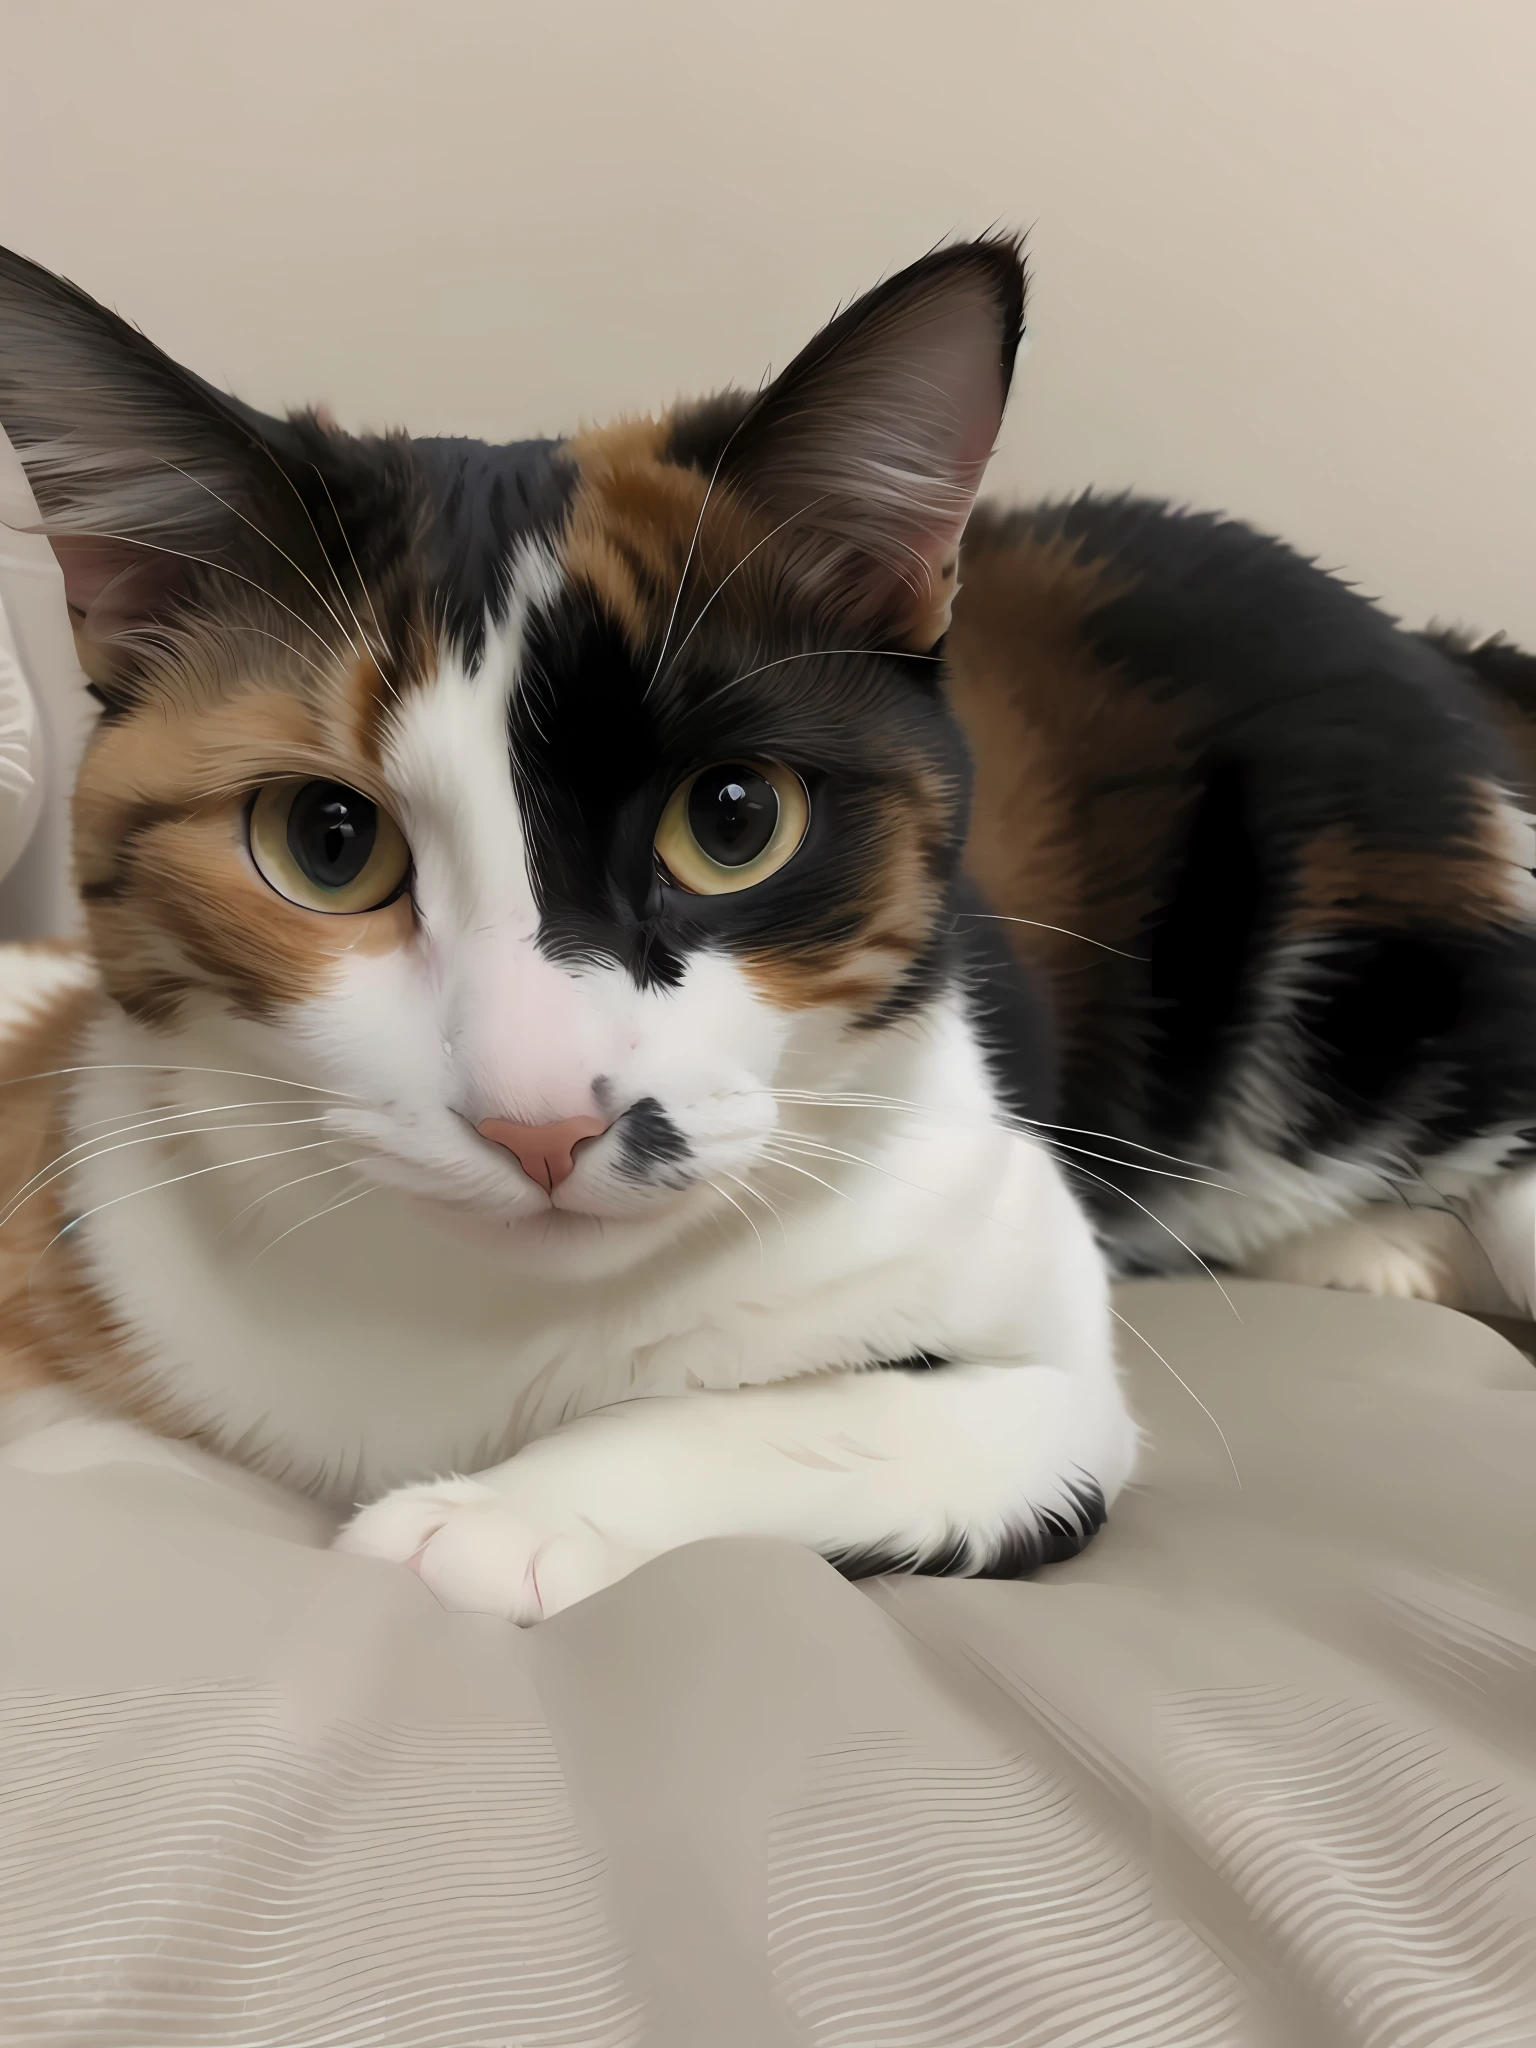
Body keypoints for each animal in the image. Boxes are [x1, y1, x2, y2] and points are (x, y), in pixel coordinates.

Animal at [0, 235, 1531, 1613]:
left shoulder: (1038, 1359)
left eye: (733, 820)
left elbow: (855, 1409)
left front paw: (491, 1521)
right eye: (326, 842)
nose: (541, 1124)